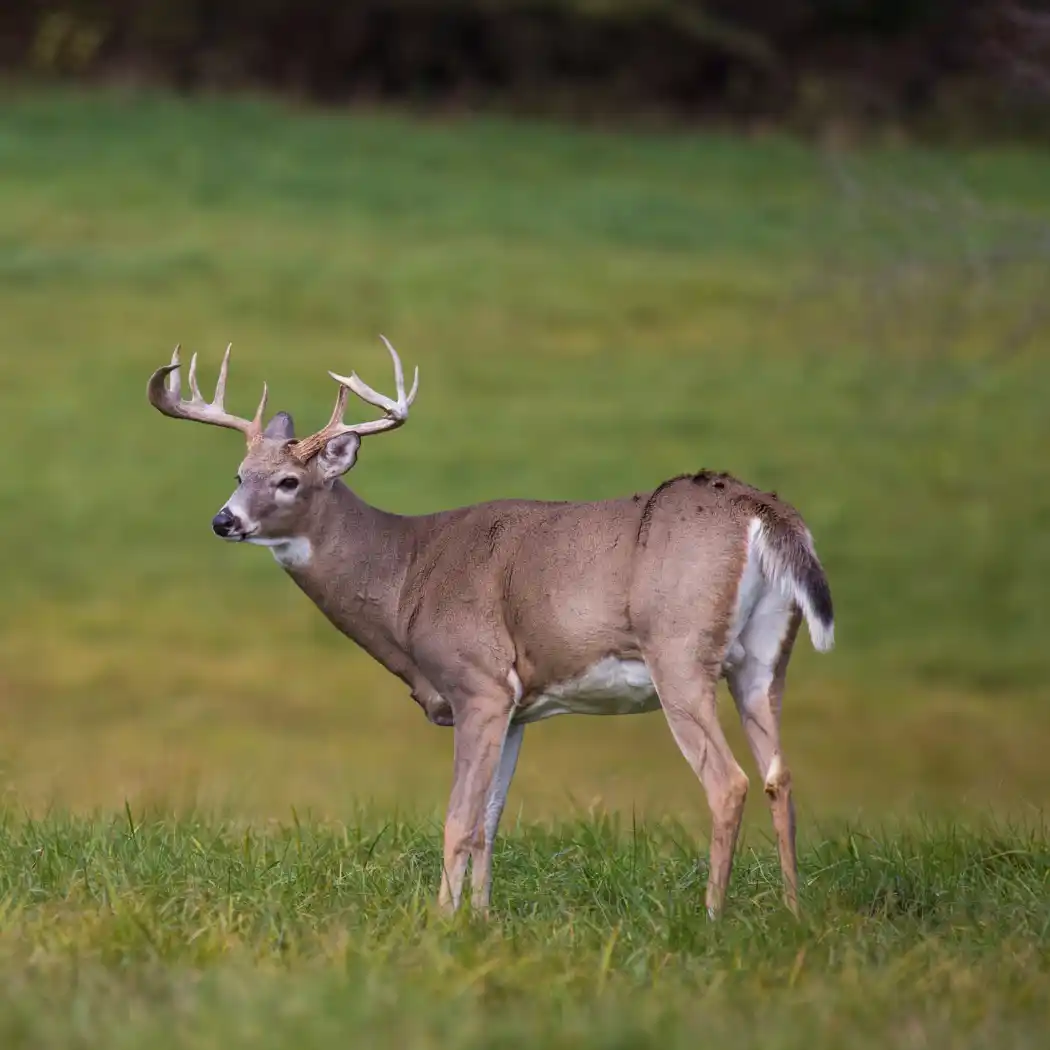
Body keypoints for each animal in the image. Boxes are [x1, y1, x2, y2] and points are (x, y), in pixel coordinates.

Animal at [148, 338, 835, 919]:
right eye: (239, 474)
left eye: (289, 481)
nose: (224, 520)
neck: (406, 576)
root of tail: (764, 513)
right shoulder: (518, 705)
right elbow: (490, 819)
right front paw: (481, 919)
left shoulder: (476, 681)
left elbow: (458, 819)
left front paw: (439, 923)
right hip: (763, 659)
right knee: (780, 778)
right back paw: (793, 913)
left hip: (680, 650)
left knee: (729, 783)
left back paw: (712, 918)